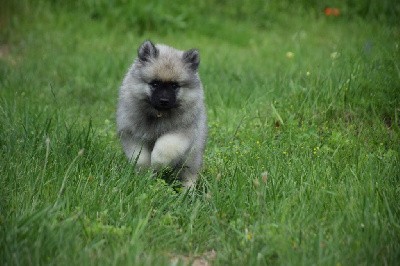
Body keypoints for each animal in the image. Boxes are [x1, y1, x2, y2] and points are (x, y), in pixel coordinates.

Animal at [115, 40, 208, 188]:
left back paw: (188, 191)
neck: (158, 114)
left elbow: (163, 149)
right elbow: (140, 158)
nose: (164, 100)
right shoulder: (132, 135)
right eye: (155, 83)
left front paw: (157, 164)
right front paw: (145, 174)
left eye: (174, 86)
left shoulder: (180, 133)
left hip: (192, 156)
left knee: (189, 174)